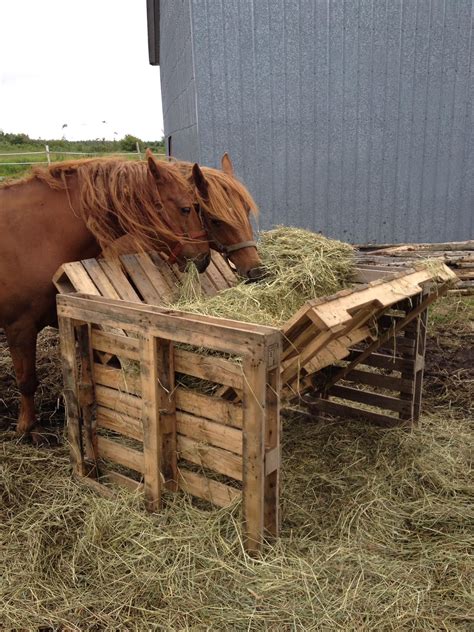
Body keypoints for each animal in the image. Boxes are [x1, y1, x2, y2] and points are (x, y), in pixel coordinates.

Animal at [0, 154, 211, 442]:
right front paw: (27, 427)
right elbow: (26, 380)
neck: (34, 234)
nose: (204, 258)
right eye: (186, 209)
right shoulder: (19, 327)